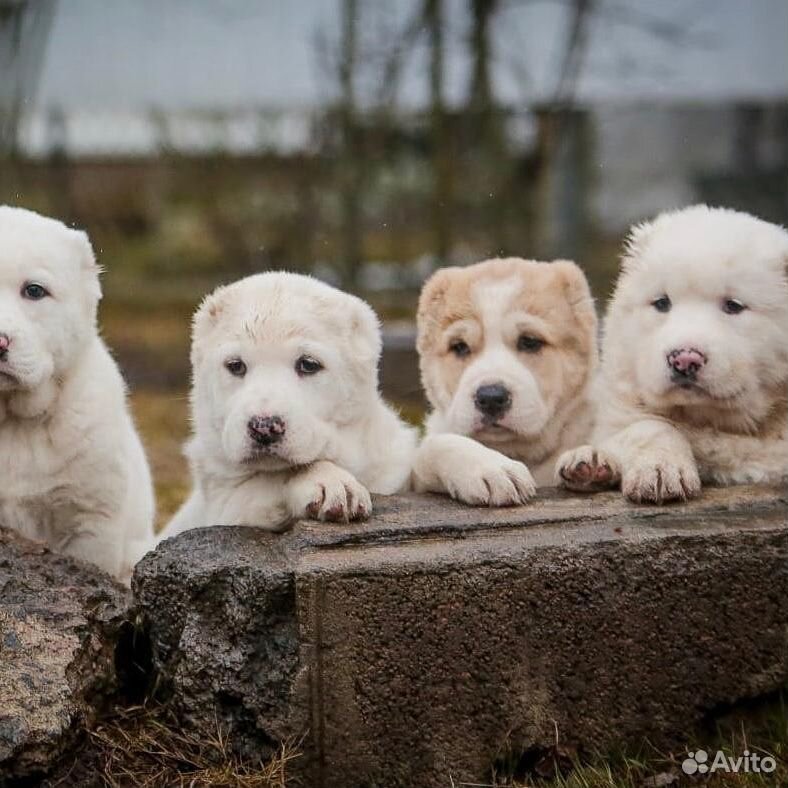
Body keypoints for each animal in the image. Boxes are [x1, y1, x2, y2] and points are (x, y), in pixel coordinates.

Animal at [160, 272, 418, 540]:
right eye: (235, 365)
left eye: (309, 364)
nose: (263, 427)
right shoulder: (224, 503)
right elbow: (273, 479)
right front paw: (330, 482)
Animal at [412, 258, 596, 504]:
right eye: (459, 346)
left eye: (530, 342)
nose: (491, 398)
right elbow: (433, 447)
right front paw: (490, 469)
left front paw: (588, 457)